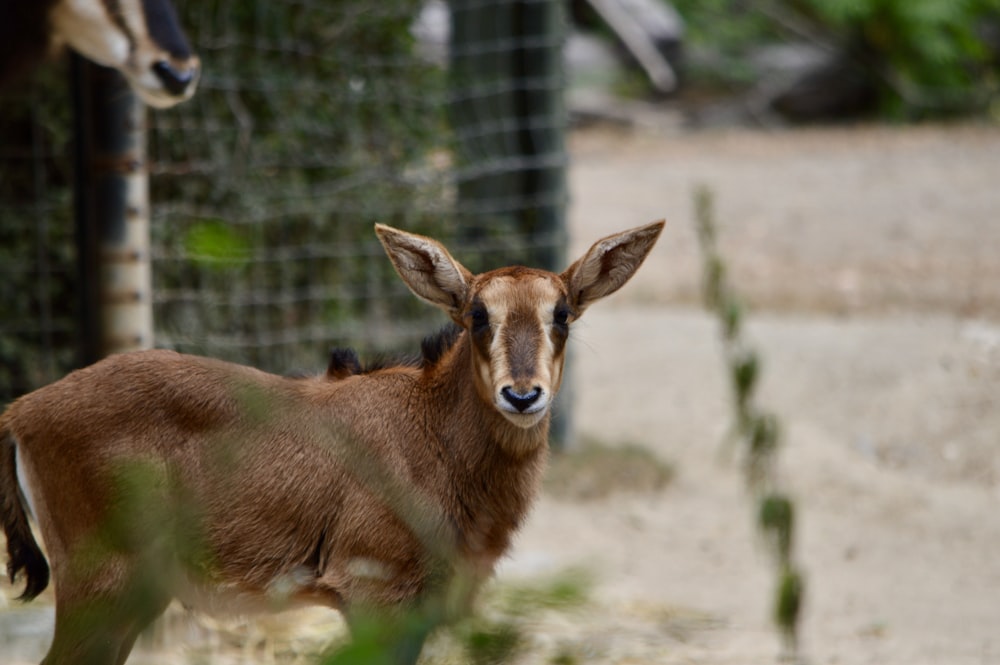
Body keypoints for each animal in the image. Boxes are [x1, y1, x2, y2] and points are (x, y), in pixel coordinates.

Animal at [5, 220, 664, 660]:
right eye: (477, 314)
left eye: (562, 314)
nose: (522, 396)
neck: (430, 431)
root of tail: (21, 412)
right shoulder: (372, 593)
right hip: (101, 585)